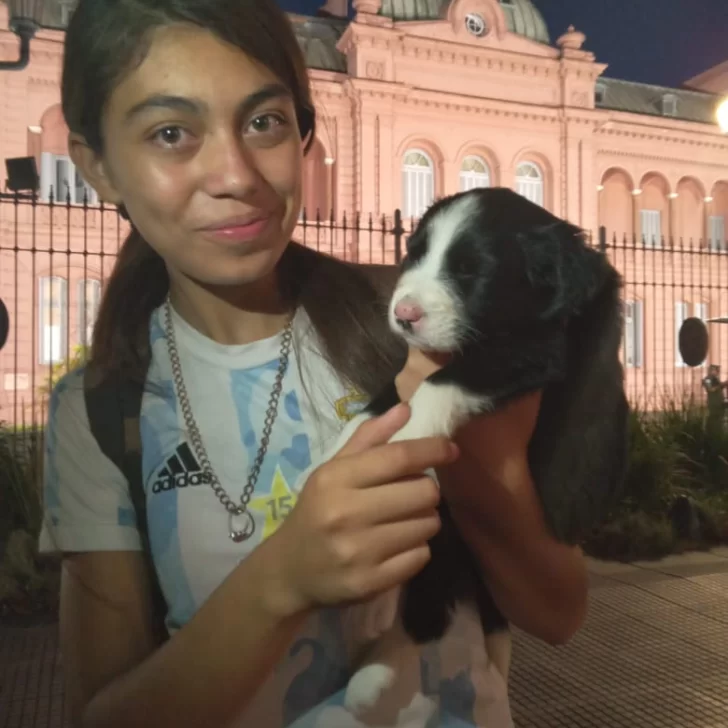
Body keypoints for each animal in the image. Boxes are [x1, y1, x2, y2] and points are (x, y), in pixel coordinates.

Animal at [328, 188, 628, 716]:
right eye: (414, 254)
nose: (404, 315)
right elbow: (390, 395)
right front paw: (344, 443)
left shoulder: (532, 351)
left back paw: (372, 671)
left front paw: (405, 437)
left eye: (472, 272)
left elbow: (439, 383)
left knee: (428, 606)